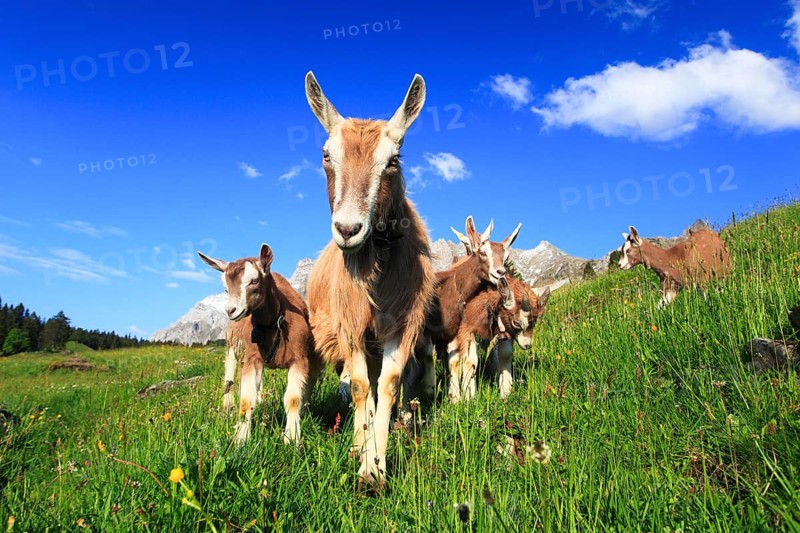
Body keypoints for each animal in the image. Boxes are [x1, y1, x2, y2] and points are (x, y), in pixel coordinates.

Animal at [198, 244, 323, 444]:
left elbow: (293, 399)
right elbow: (246, 400)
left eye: (254, 280)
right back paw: (228, 406)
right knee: (229, 375)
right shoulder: (251, 359)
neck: (274, 324)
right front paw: (241, 438)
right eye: (225, 288)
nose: (231, 310)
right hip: (233, 345)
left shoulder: (299, 359)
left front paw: (292, 437)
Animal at [304, 71, 437, 488]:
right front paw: (363, 456)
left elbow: (389, 383)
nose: (348, 230)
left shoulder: (403, 322)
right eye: (326, 156)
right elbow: (362, 386)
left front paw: (375, 468)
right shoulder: (350, 326)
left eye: (393, 160)